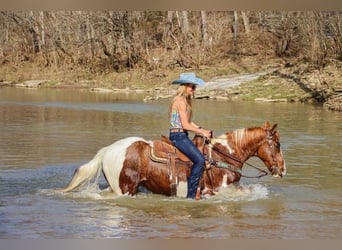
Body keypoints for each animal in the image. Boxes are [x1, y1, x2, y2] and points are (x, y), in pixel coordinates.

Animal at [59, 121, 286, 199]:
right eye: (277, 144)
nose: (282, 170)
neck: (223, 155)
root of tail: (108, 150)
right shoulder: (221, 190)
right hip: (125, 189)